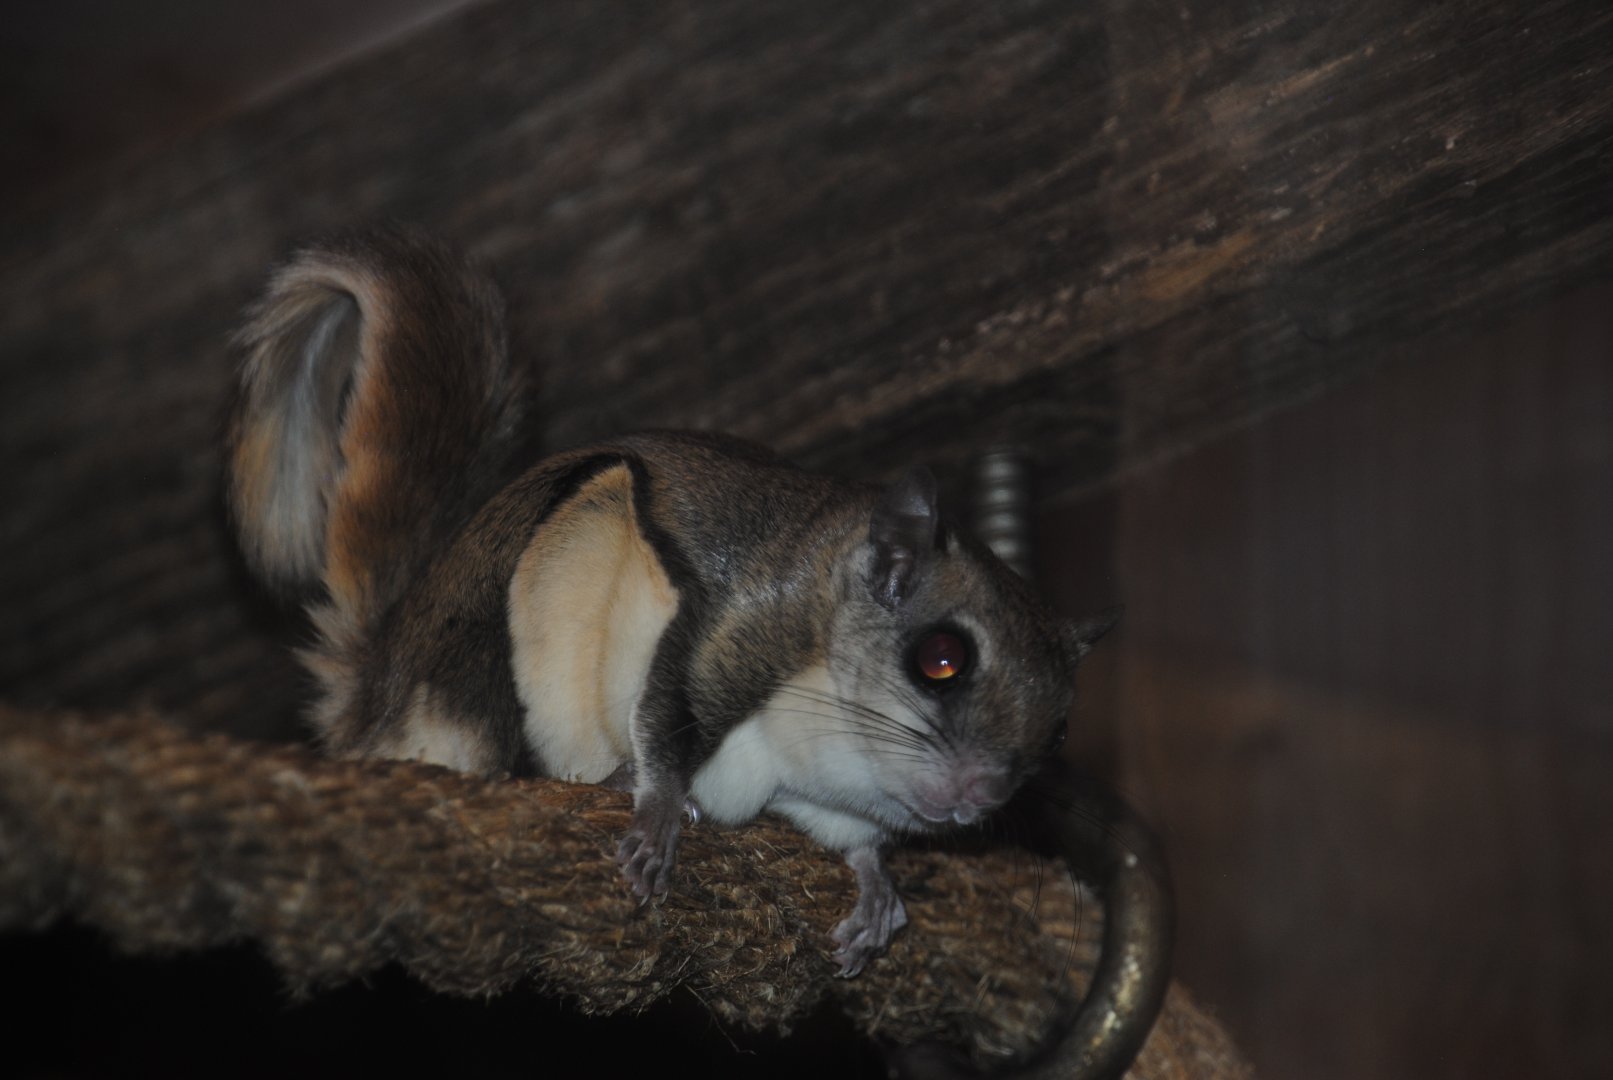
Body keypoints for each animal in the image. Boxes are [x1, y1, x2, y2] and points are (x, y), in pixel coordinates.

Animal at [225, 227, 1156, 1019]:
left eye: (1060, 724)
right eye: (940, 658)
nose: (981, 797)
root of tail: (381, 696)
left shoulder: (824, 795)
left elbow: (853, 838)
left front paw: (874, 890)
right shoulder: (734, 630)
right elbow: (670, 717)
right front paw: (660, 814)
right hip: (548, 587)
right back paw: (602, 784)